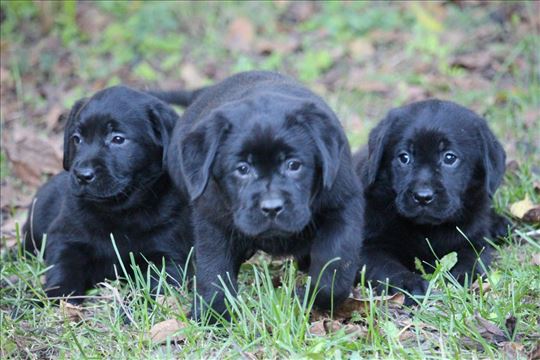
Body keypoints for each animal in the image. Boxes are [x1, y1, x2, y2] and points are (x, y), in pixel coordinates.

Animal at [23, 87, 192, 304]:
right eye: (76, 138)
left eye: (118, 139)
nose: (82, 175)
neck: (119, 210)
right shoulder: (64, 237)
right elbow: (63, 266)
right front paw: (59, 296)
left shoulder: (169, 249)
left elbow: (159, 281)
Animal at [167, 71, 364, 320]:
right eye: (242, 169)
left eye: (294, 165)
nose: (272, 208)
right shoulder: (211, 220)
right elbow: (214, 269)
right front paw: (213, 313)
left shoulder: (343, 206)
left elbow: (334, 269)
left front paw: (306, 297)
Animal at [354, 99, 506, 300]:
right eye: (404, 157)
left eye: (449, 157)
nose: (423, 197)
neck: (426, 230)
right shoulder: (366, 248)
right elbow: (387, 268)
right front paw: (409, 284)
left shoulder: (475, 242)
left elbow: (472, 260)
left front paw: (460, 277)